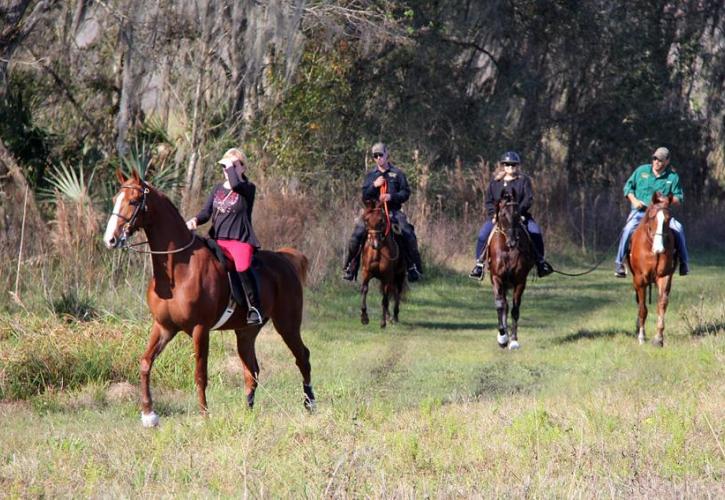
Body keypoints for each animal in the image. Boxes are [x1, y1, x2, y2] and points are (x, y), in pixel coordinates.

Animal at [102, 169, 314, 426]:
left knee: (302, 356)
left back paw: (310, 404)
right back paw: (247, 411)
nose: (110, 239)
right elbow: (145, 363)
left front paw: (204, 414)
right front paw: (149, 414)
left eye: (133, 201)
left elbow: (200, 373)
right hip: (246, 332)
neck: (178, 270)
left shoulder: (200, 329)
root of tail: (284, 259)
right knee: (251, 370)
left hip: (287, 324)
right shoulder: (163, 327)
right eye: (115, 199)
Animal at [358, 199, 404, 328]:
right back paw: (389, 316)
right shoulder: (366, 273)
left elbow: (385, 299)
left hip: (399, 274)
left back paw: (395, 316)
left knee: (397, 292)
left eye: (381, 220)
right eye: (366, 220)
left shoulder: (387, 277)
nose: (375, 244)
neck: (377, 253)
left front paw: (382, 322)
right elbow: (364, 290)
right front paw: (364, 317)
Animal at [484, 189, 536, 350]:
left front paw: (513, 340)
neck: (507, 249)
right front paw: (502, 337)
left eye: (517, 214)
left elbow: (515, 309)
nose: (513, 241)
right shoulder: (496, 278)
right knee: (504, 305)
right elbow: (500, 305)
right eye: (502, 214)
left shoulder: (520, 281)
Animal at [624, 191, 676, 348]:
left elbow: (662, 304)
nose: (659, 248)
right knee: (639, 303)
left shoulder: (664, 276)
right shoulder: (640, 279)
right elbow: (643, 308)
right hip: (636, 280)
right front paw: (641, 336)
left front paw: (659, 338)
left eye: (668, 218)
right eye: (653, 217)